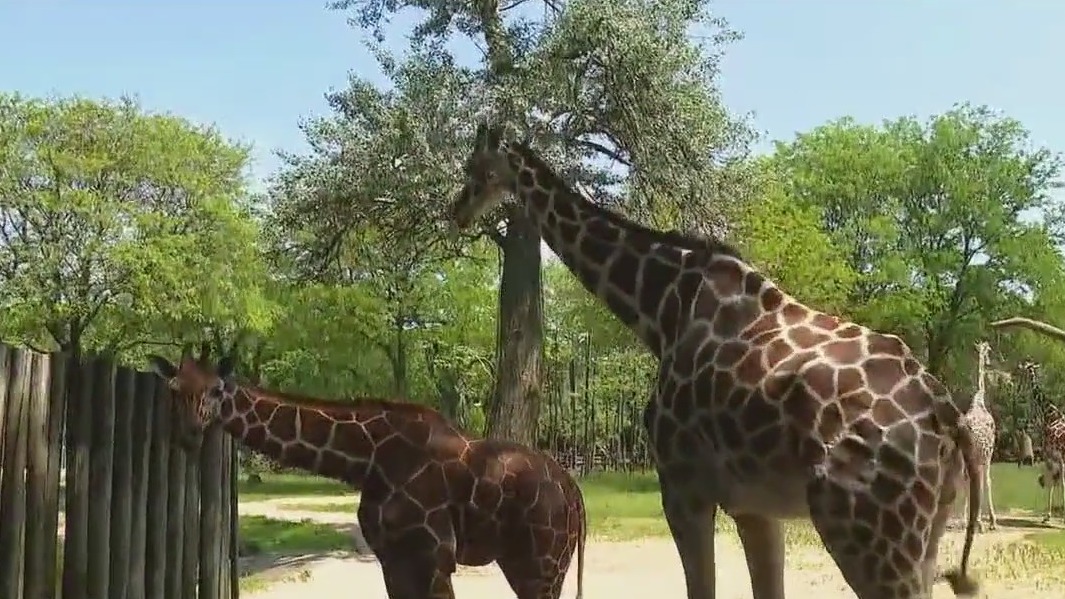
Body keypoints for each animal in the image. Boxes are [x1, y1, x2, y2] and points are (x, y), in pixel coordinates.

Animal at [147, 347, 586, 599]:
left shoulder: (434, 557)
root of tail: (575, 495)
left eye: (217, 390)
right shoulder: (392, 557)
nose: (188, 434)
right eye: (174, 389)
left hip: (541, 565)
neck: (366, 461)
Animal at [446, 123, 982, 599]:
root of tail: (945, 416)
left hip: (868, 533)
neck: (661, 311)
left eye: (477, 167)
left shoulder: (683, 485)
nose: (457, 210)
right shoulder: (754, 505)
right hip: (927, 532)